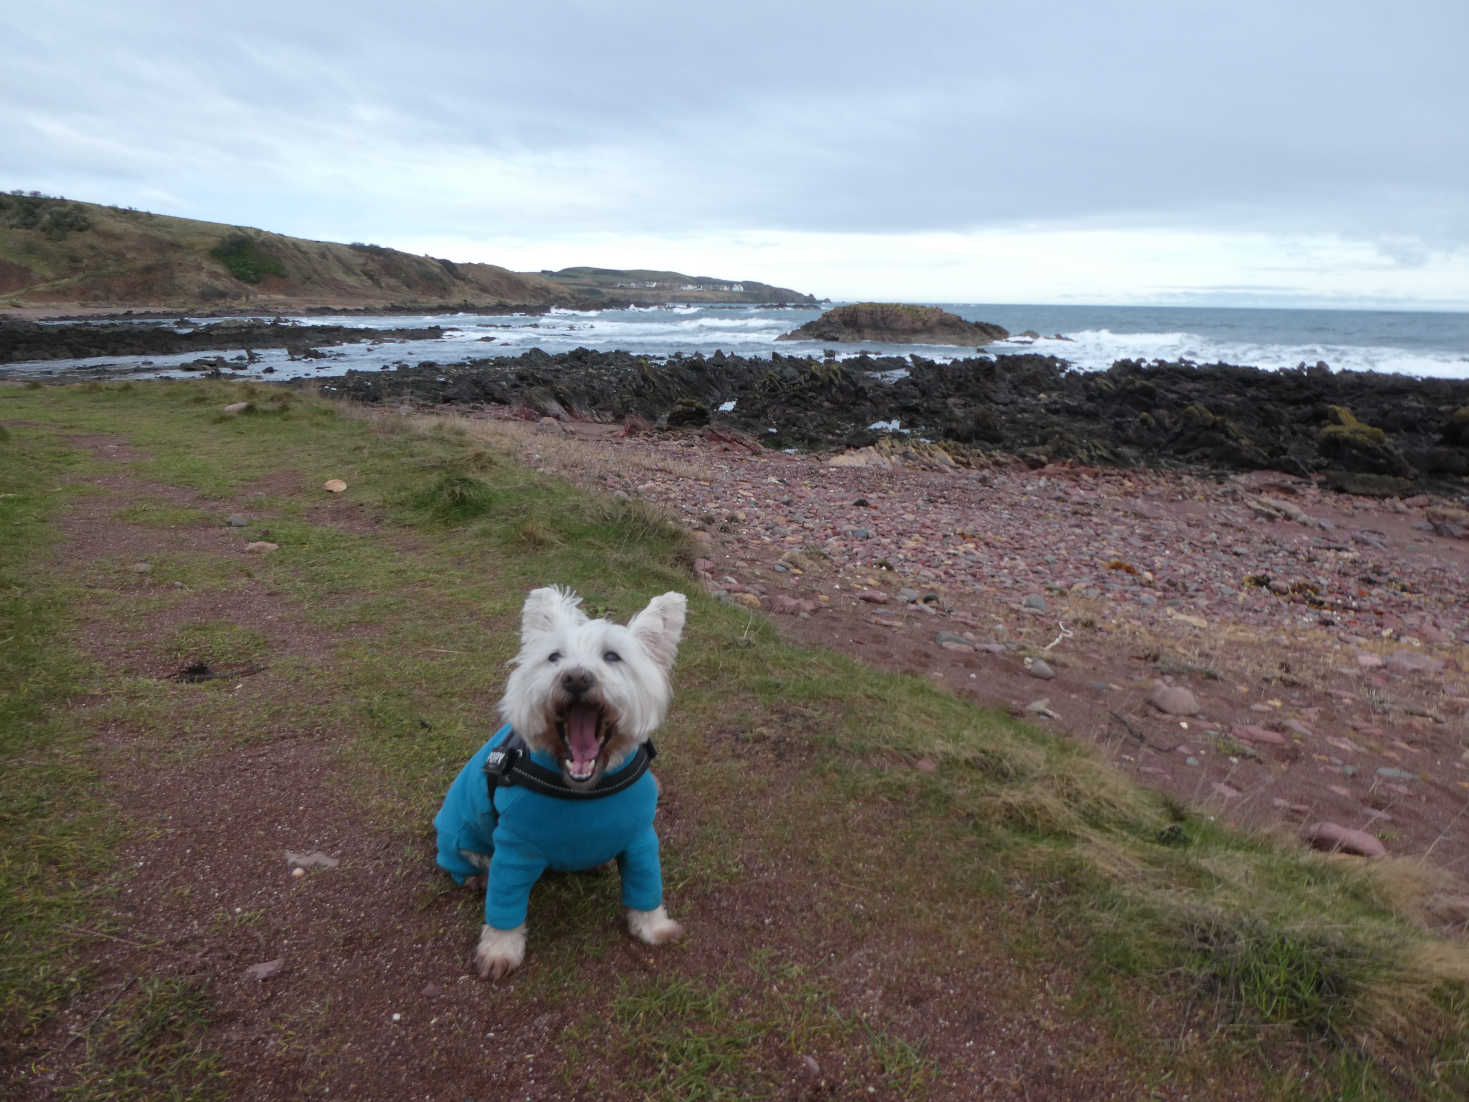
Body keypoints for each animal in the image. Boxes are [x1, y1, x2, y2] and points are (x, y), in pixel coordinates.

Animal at [434, 590, 687, 981]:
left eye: (612, 656)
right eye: (554, 657)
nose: (576, 678)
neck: (583, 792)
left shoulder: (641, 839)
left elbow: (646, 888)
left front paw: (653, 927)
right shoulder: (514, 848)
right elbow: (504, 906)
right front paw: (499, 950)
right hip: (460, 836)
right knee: (469, 862)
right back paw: (478, 877)